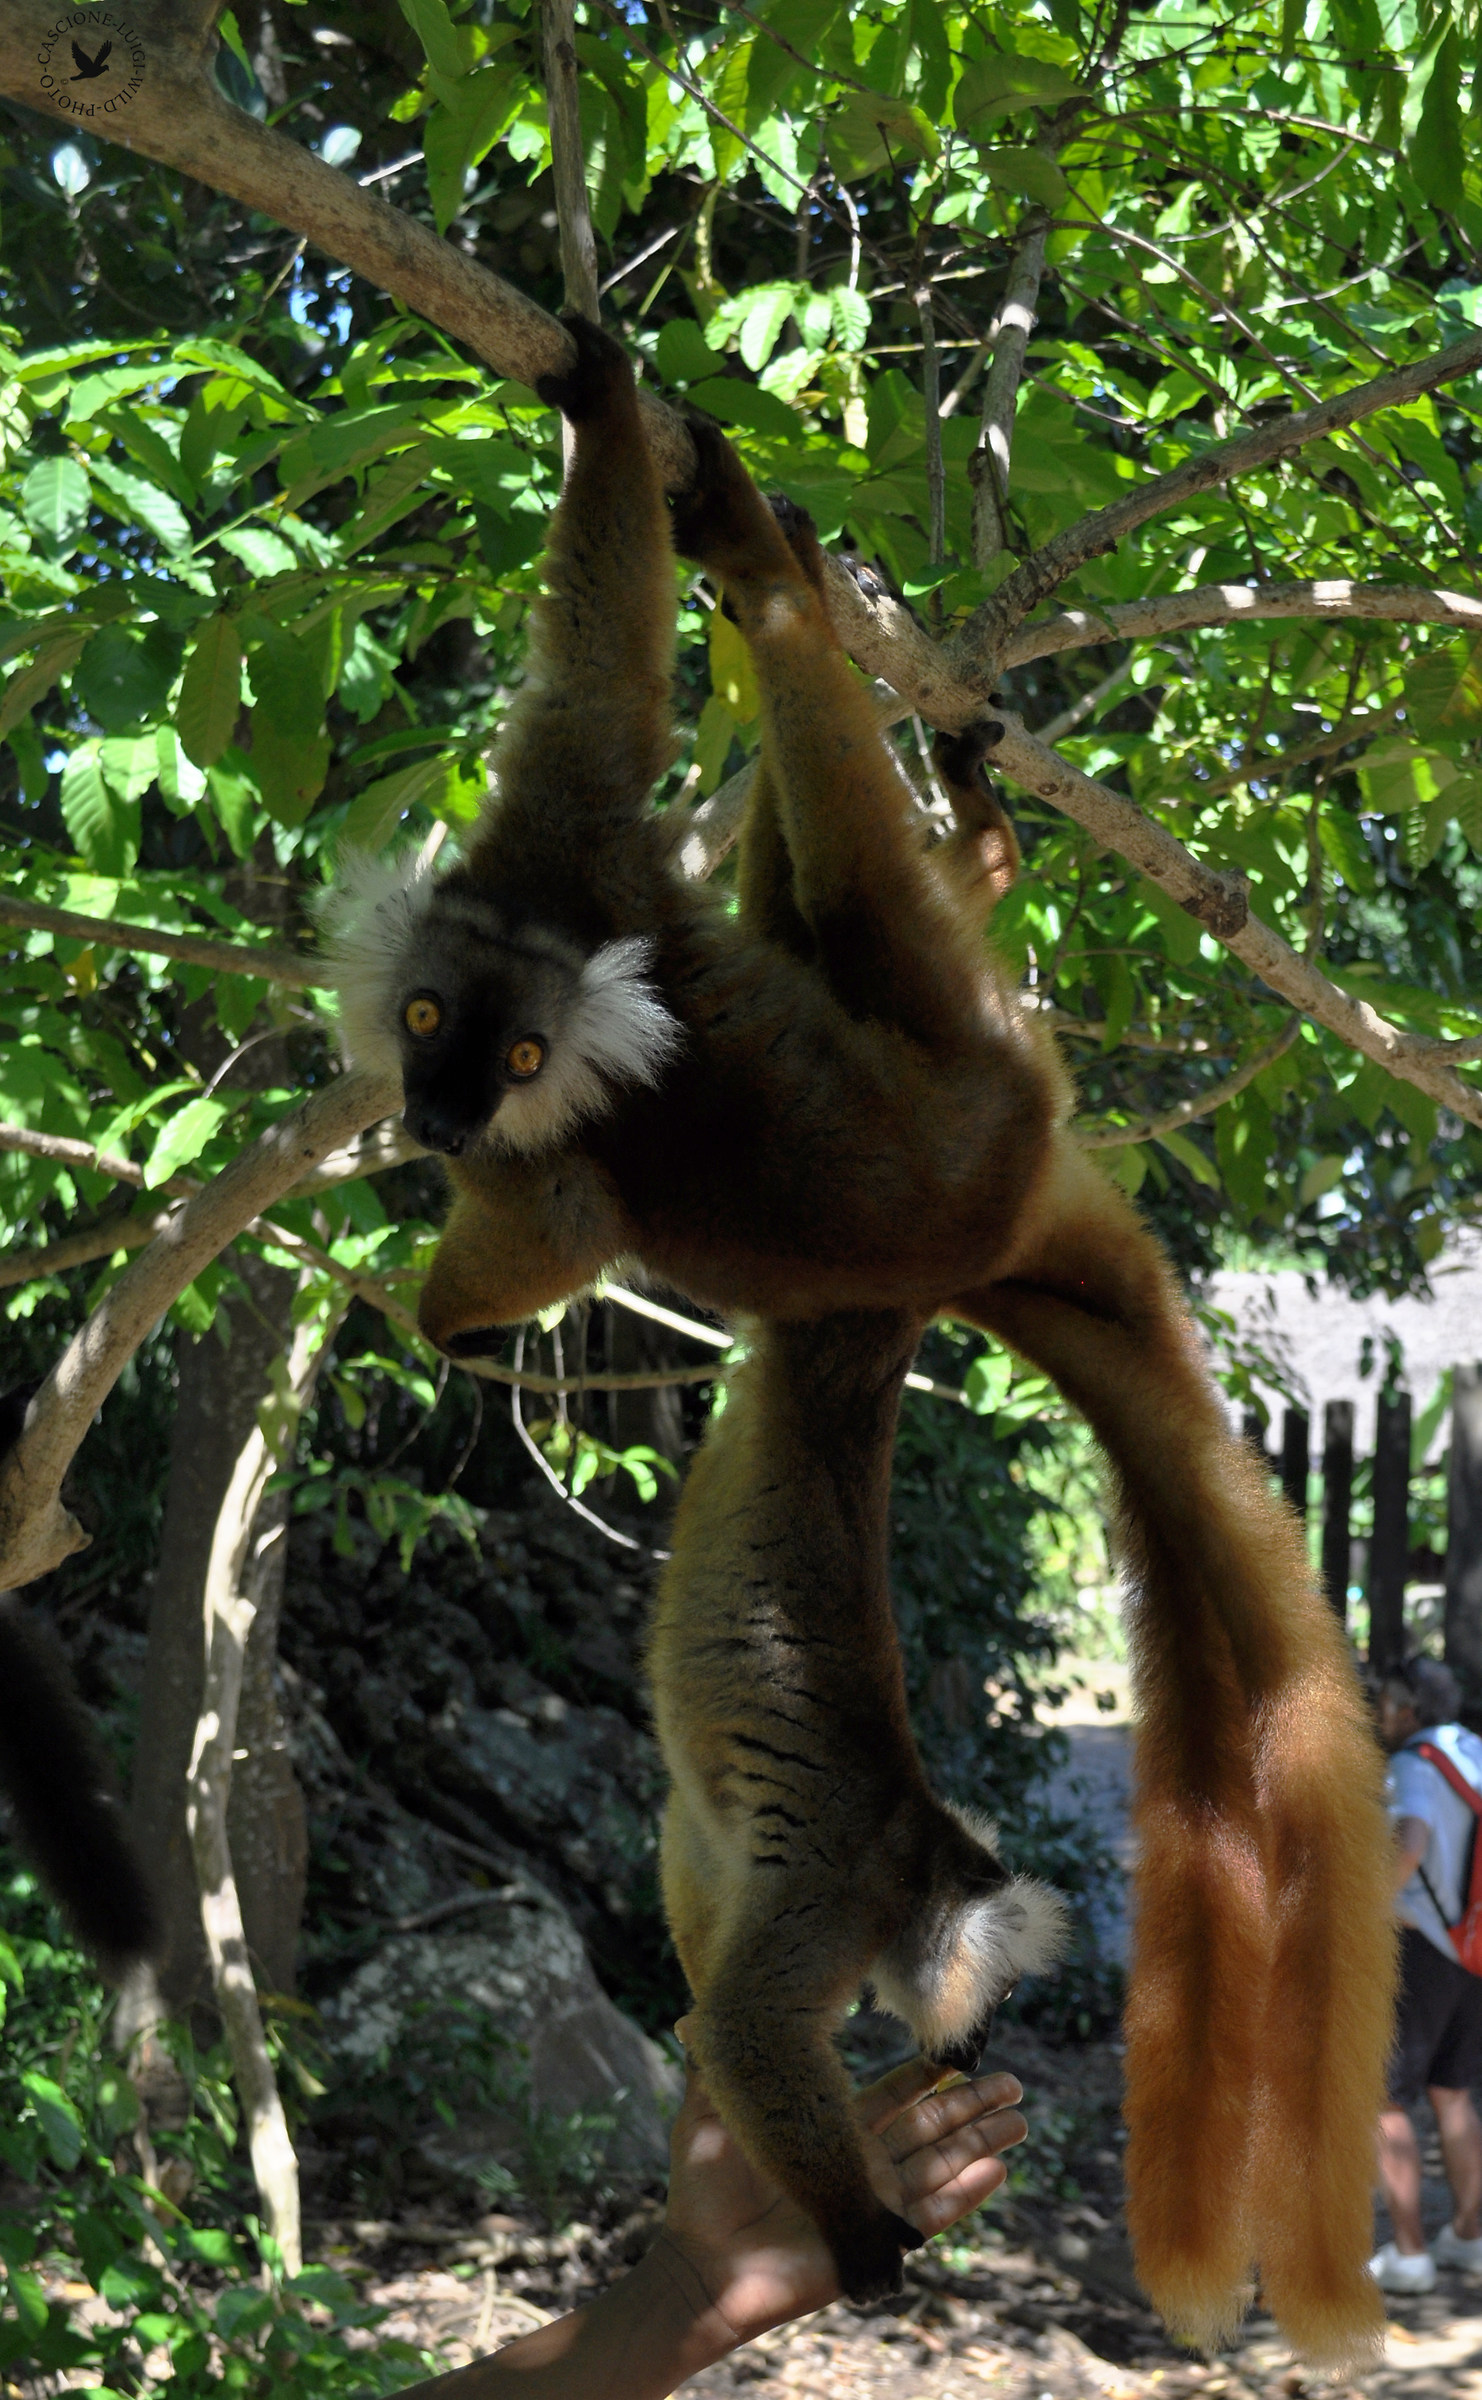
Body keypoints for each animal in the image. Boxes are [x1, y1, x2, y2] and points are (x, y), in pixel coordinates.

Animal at [328, 321, 1394, 2362]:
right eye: (429, 1023)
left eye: (485, 1037)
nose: (425, 1108)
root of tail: (995, 1204)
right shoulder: (827, 1902)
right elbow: (755, 2019)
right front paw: (853, 2237)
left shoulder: (568, 861)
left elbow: (596, 694)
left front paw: (602, 417)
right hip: (971, 1058)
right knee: (855, 859)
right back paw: (793, 617)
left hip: (939, 1076)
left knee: (815, 866)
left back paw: (882, 724)